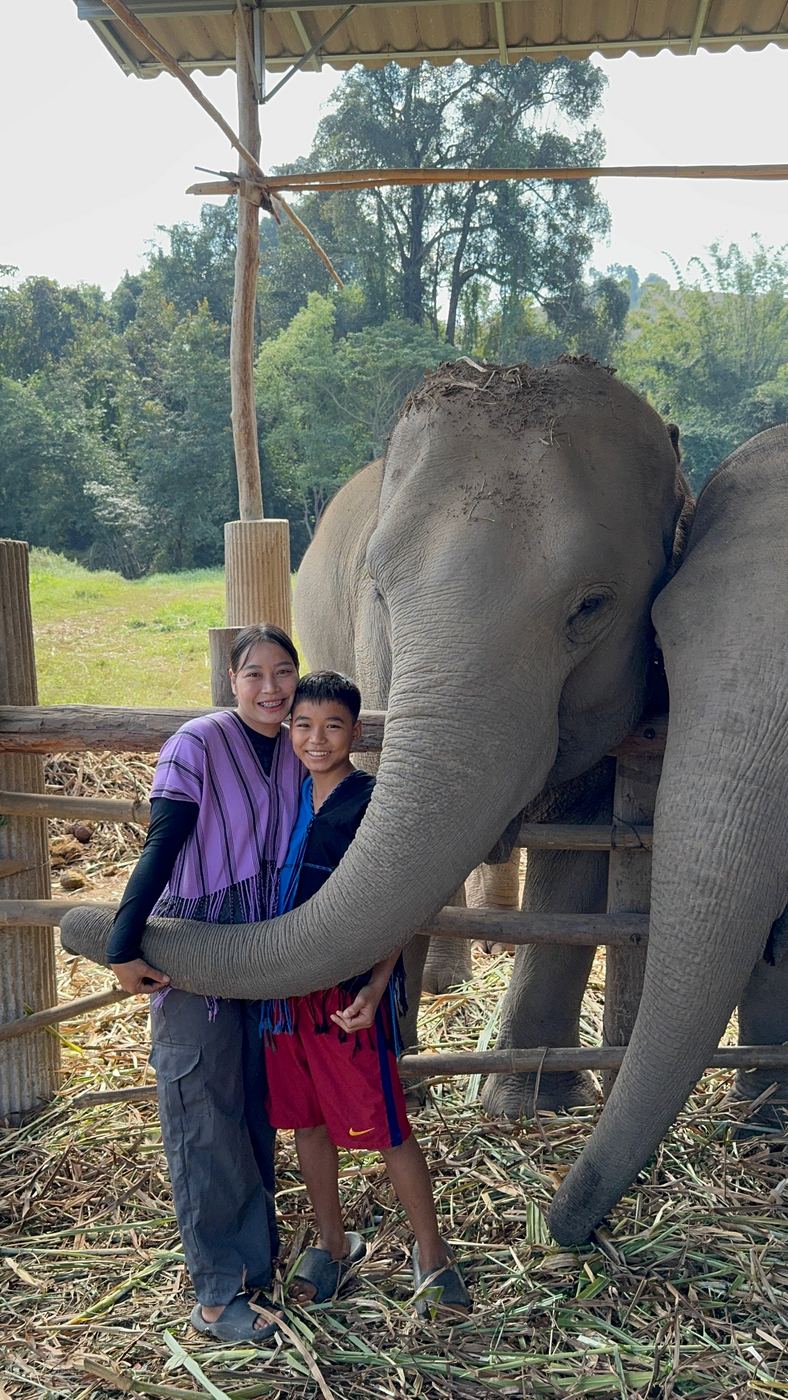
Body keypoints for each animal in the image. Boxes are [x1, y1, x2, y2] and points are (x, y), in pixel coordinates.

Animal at [61, 355, 690, 1120]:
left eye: (593, 607)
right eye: (380, 591)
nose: (89, 931)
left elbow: (577, 853)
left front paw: (528, 1106)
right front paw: (401, 1077)